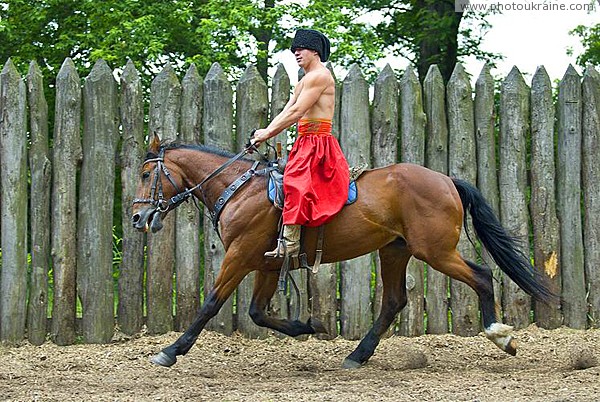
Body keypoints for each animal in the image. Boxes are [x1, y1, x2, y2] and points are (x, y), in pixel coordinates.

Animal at [132, 134, 556, 368]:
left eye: (145, 174)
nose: (138, 217)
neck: (239, 188)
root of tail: (446, 179)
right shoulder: (266, 265)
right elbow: (257, 313)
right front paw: (309, 326)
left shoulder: (239, 256)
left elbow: (211, 304)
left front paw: (170, 350)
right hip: (395, 251)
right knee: (394, 301)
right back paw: (357, 355)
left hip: (434, 250)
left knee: (481, 275)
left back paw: (500, 335)